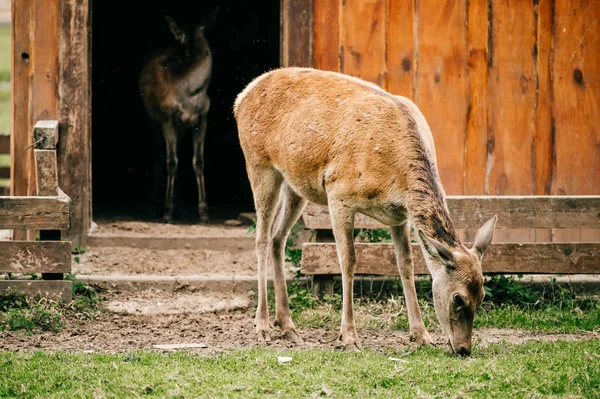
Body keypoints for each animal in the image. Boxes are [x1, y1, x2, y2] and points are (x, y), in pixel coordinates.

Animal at [140, 12, 216, 223]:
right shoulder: (167, 117)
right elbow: (172, 162)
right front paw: (166, 213)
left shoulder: (202, 118)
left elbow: (198, 161)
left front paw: (204, 212)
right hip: (153, 120)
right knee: (159, 154)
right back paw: (153, 205)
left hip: (180, 127)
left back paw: (182, 208)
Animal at [234, 68, 496, 356]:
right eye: (458, 297)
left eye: (482, 295)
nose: (463, 349)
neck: (396, 177)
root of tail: (242, 96)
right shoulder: (338, 192)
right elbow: (348, 261)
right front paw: (348, 337)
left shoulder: (399, 216)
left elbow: (406, 264)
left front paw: (422, 335)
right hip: (259, 164)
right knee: (261, 239)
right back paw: (262, 327)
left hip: (295, 183)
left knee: (278, 238)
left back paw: (288, 327)